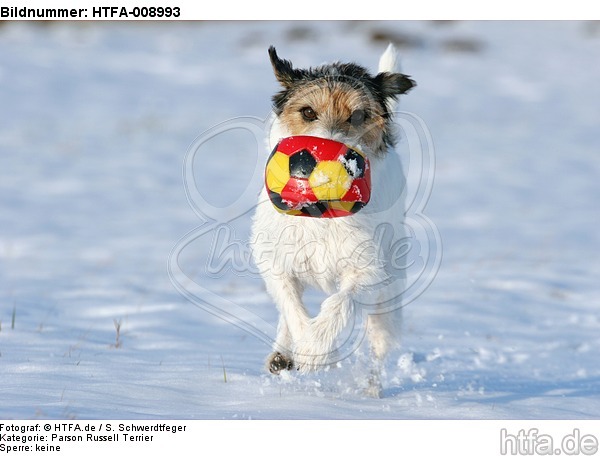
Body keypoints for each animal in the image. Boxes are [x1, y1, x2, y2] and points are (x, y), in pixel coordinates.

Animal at [248, 44, 412, 394]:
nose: (332, 154)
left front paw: (316, 350)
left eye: (359, 115)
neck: (319, 213)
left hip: (388, 296)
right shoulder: (276, 261)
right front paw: (304, 348)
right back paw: (283, 354)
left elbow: (340, 304)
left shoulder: (367, 271)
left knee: (378, 349)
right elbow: (291, 306)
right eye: (308, 112)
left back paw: (372, 391)